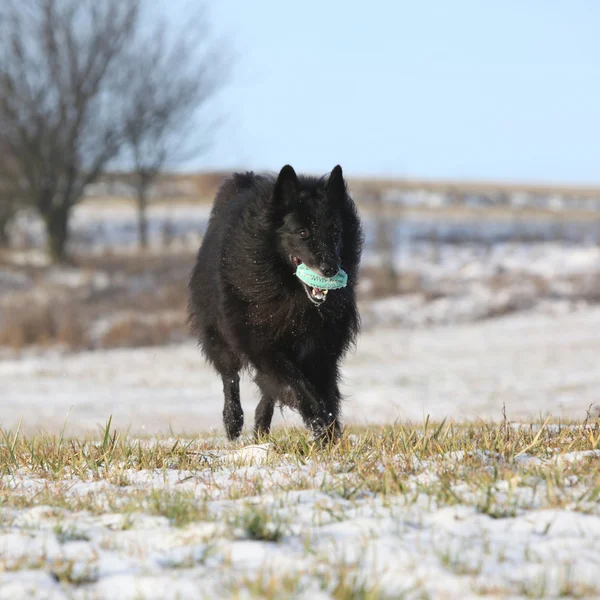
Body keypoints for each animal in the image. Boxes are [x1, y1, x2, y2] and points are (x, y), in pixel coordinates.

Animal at [190, 164, 364, 440]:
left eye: (335, 232)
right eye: (303, 232)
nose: (330, 269)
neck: (292, 295)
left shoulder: (320, 349)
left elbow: (322, 392)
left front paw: (329, 434)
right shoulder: (262, 344)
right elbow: (300, 388)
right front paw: (321, 424)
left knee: (266, 390)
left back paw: (261, 429)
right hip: (220, 335)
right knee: (230, 377)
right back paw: (233, 422)